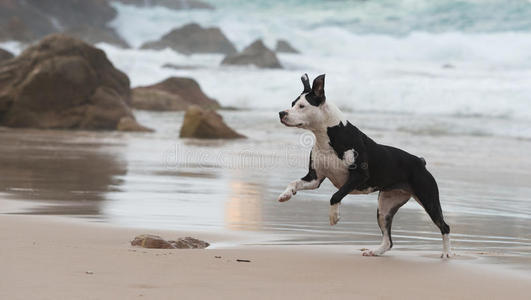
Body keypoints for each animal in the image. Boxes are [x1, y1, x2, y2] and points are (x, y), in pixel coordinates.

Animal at [280, 73, 450, 258]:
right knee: (388, 241)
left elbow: (335, 196)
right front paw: (286, 194)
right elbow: (294, 183)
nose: (281, 113)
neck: (329, 135)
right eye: (292, 103)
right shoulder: (315, 178)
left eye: (302, 106)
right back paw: (375, 251)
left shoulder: (358, 177)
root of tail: (420, 161)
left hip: (428, 199)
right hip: (385, 208)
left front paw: (334, 216)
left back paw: (446, 254)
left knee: (445, 227)